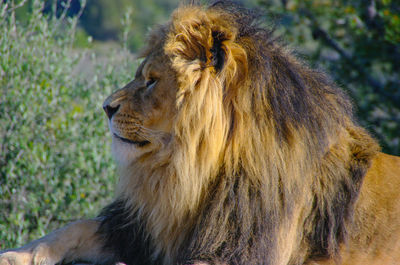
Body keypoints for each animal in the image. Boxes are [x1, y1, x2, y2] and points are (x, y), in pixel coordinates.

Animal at [0, 2, 400, 264]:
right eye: (141, 75)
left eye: (151, 80)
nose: (106, 107)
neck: (193, 171)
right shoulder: (144, 229)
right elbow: (74, 227)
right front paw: (13, 255)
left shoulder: (238, 247)